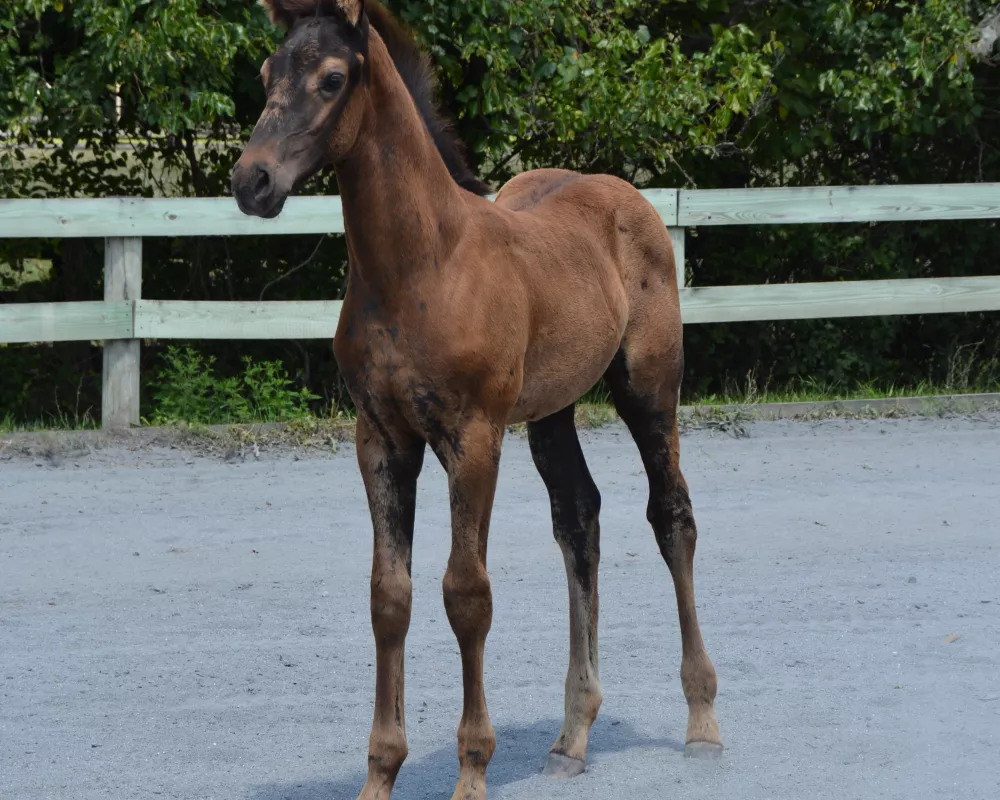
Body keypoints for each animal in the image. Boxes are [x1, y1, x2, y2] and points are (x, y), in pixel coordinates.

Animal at [230, 3, 724, 796]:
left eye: (332, 78)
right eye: (268, 72)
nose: (252, 180)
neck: (421, 266)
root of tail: (628, 196)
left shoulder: (474, 438)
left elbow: (467, 594)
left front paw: (471, 770)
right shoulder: (382, 441)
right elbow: (389, 596)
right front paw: (380, 773)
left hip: (649, 389)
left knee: (671, 516)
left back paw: (702, 723)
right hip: (551, 410)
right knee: (578, 518)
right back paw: (572, 736)